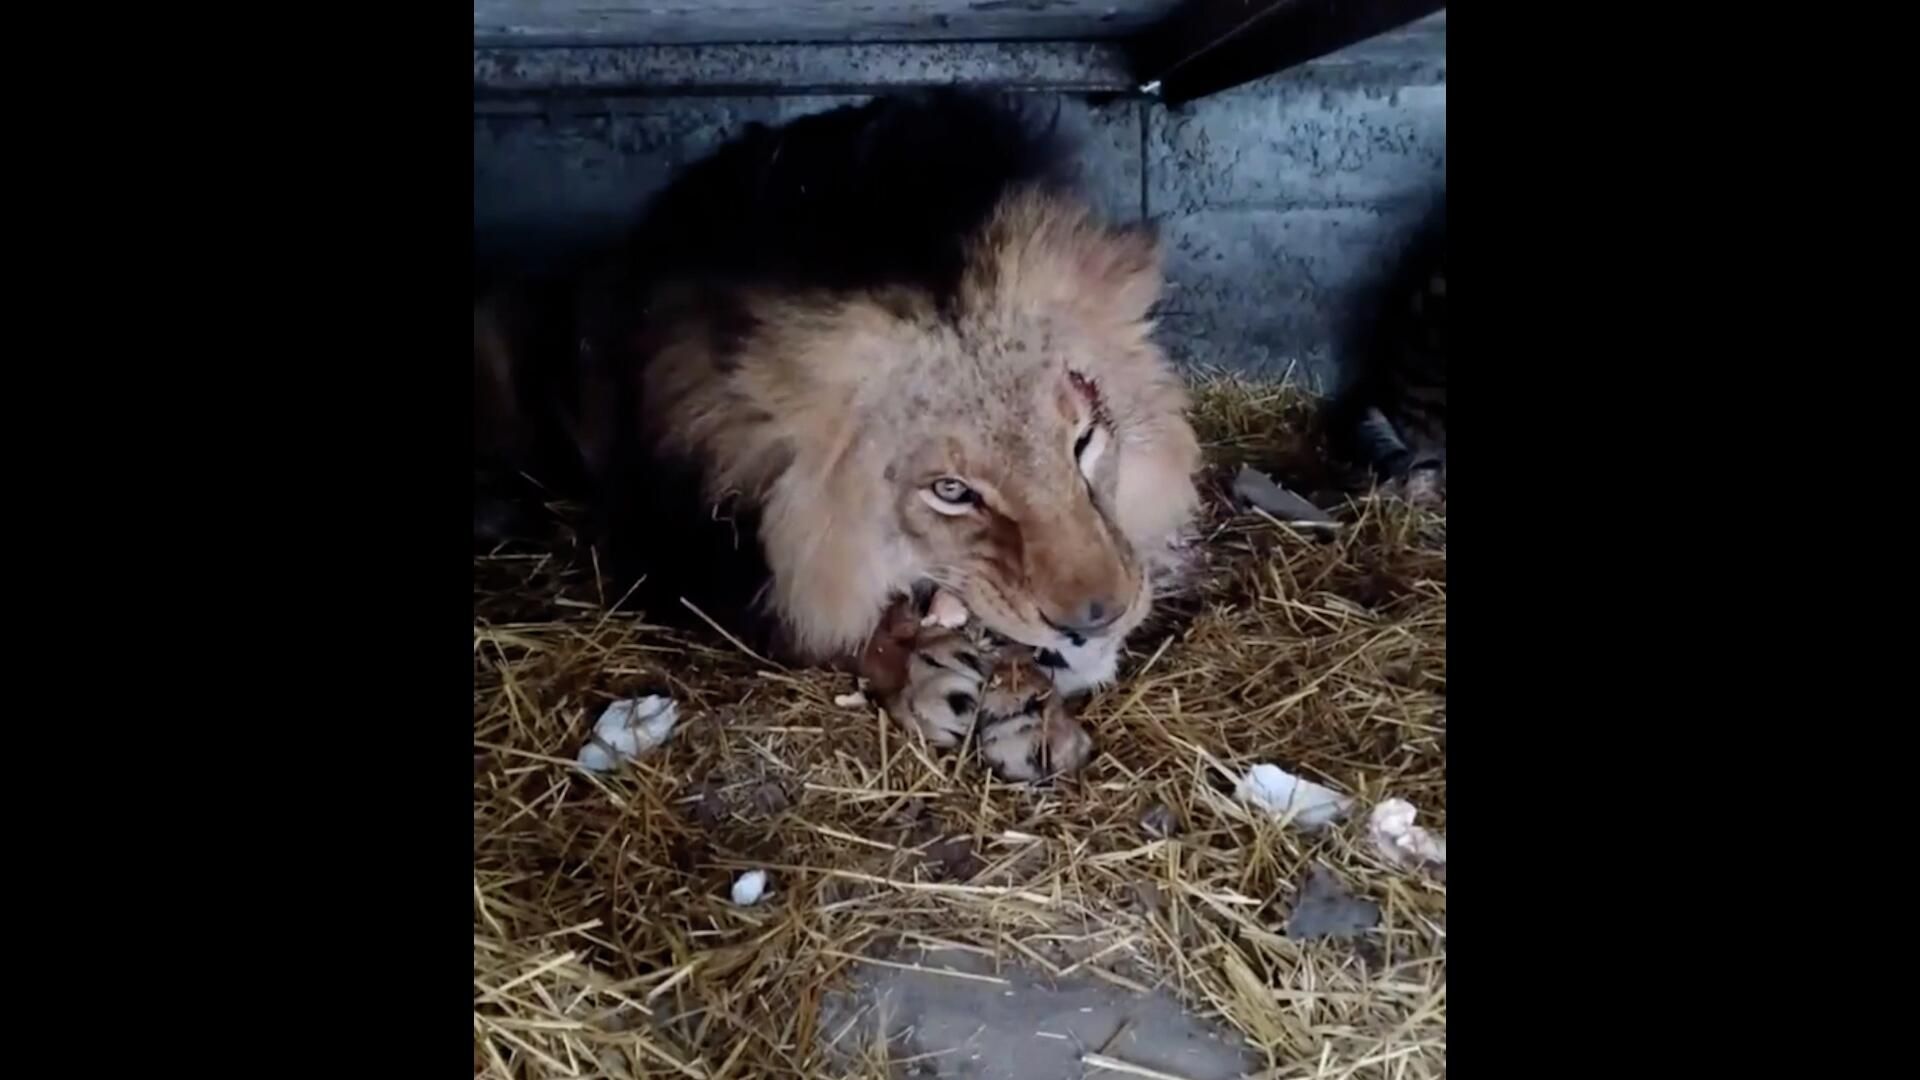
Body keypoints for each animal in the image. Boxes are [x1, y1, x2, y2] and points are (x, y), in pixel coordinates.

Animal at [477, 91, 1201, 780]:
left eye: (1083, 441)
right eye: (951, 491)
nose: (1097, 618)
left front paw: (1027, 713)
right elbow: (828, 627)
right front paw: (938, 679)